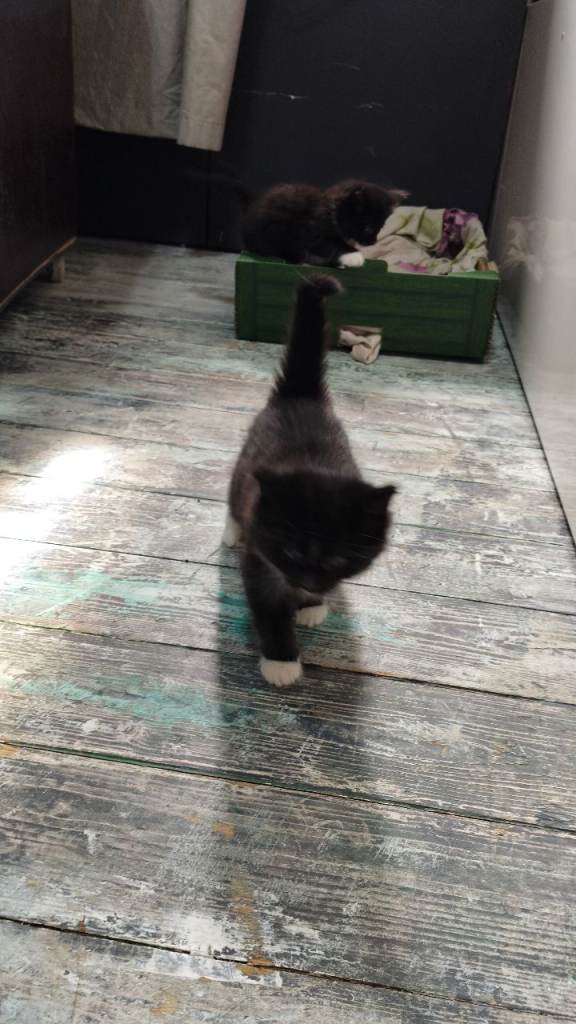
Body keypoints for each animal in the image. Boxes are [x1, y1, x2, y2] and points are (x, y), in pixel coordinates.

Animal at [224, 274, 396, 687]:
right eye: (290, 553)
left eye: (339, 559)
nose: (309, 582)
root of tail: (300, 393)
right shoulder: (260, 557)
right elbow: (268, 609)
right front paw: (281, 661)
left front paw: (312, 605)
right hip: (244, 468)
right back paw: (231, 530)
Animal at [243, 180, 407, 269]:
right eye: (368, 227)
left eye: (381, 227)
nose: (373, 242)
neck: (332, 212)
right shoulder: (310, 230)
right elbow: (329, 244)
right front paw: (353, 255)